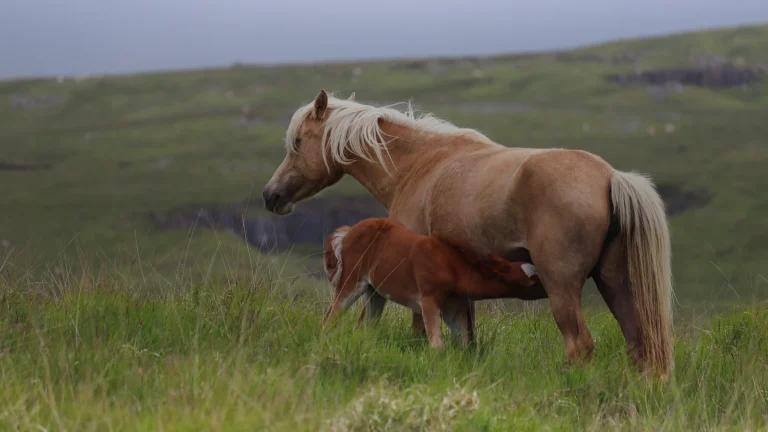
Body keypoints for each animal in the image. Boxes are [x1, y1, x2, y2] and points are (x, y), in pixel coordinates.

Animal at [321, 217, 541, 348]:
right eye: (532, 283)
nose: (547, 288)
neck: (451, 266)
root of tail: (348, 232)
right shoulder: (427, 301)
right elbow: (437, 344)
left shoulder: (453, 309)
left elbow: (462, 342)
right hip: (352, 281)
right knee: (330, 316)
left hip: (375, 291)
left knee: (363, 326)